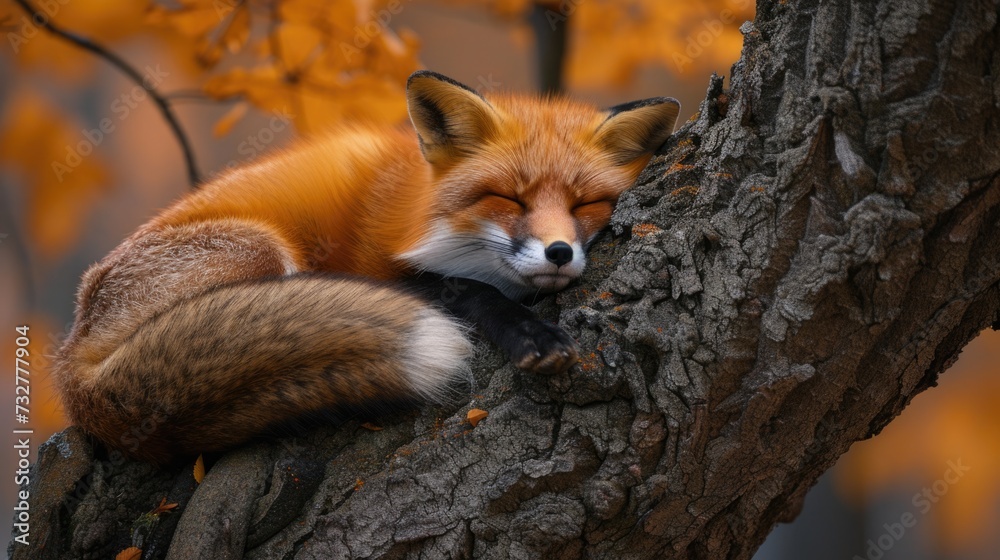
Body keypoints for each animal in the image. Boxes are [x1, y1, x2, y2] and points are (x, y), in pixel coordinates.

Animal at [54, 71, 680, 464]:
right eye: (508, 198)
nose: (558, 252)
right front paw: (530, 333)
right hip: (261, 251)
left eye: (585, 204)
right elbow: (466, 288)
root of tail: (70, 368)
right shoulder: (378, 263)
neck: (420, 207)